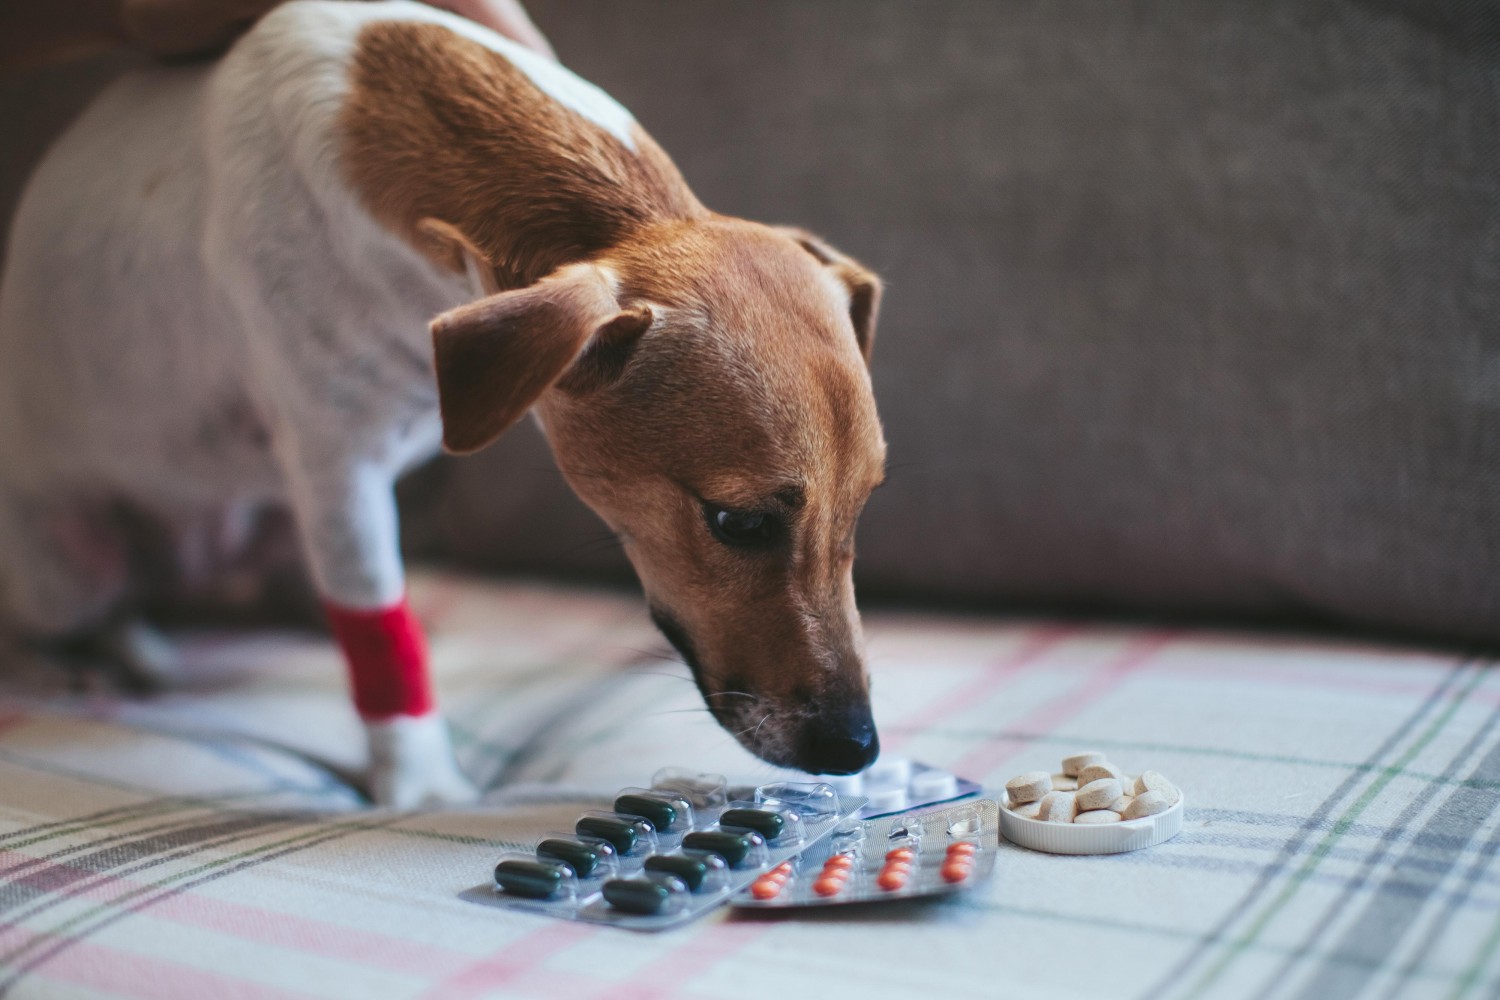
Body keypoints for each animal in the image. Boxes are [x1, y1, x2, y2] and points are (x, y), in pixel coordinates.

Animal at [0, 0, 882, 809]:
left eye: (864, 504)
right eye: (738, 523)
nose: (858, 750)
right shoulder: (339, 474)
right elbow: (379, 632)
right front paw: (421, 786)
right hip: (69, 564)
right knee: (70, 614)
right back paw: (78, 660)